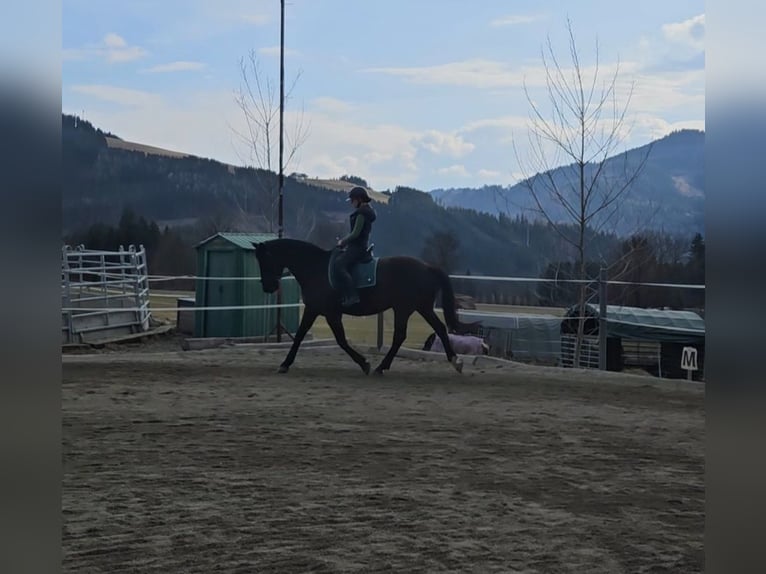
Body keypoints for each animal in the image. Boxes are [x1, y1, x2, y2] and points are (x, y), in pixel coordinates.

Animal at [252, 238, 474, 375]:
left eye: (264, 259)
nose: (267, 286)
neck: (315, 268)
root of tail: (427, 267)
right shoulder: (313, 309)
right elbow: (300, 336)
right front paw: (285, 364)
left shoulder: (330, 313)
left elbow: (340, 340)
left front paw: (365, 363)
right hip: (422, 308)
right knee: (440, 328)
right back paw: (456, 361)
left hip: (404, 309)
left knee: (401, 336)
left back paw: (381, 367)